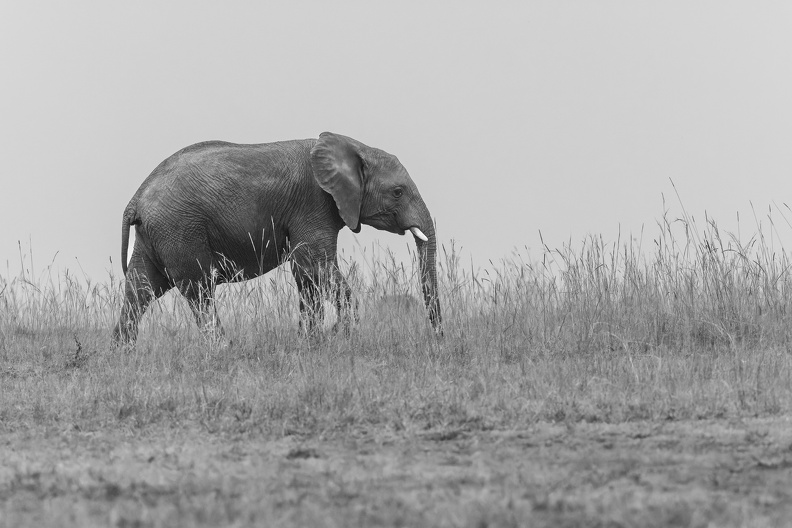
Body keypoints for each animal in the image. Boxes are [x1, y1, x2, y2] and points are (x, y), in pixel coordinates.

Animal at [112, 132, 442, 343]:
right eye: (397, 192)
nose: (439, 336)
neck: (354, 146)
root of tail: (136, 198)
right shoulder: (315, 203)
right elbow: (315, 265)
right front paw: (340, 337)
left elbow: (306, 274)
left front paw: (311, 342)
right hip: (179, 228)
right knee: (199, 289)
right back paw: (221, 350)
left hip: (156, 234)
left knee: (140, 290)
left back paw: (122, 355)